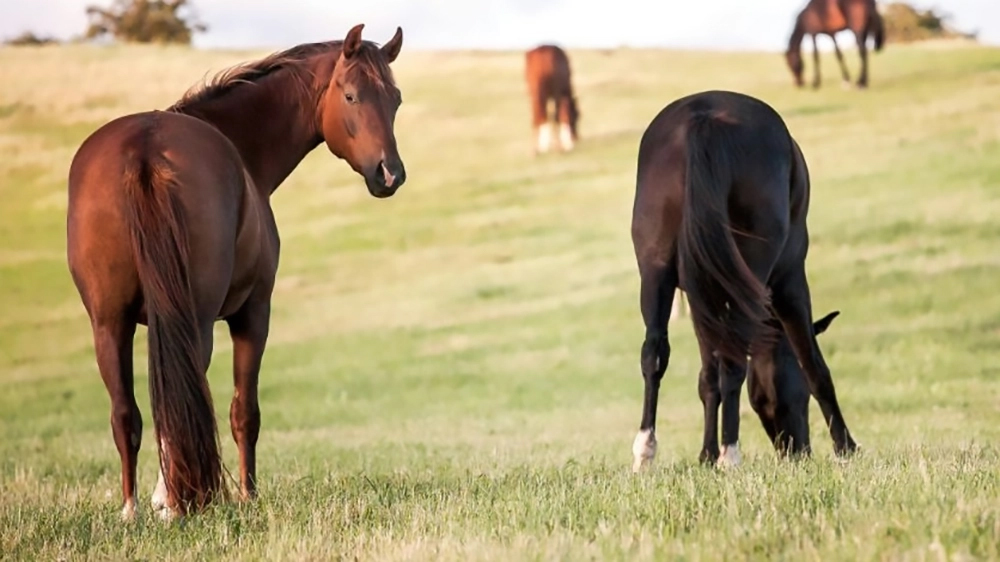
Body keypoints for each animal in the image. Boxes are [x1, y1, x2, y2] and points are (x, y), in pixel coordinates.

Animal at [66, 24, 406, 520]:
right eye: (351, 96)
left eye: (395, 99)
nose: (390, 174)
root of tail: (144, 150)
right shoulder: (253, 313)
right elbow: (244, 412)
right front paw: (246, 495)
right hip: (196, 319)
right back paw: (176, 501)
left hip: (108, 323)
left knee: (126, 412)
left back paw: (134, 509)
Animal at [629, 90, 857, 471]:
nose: (798, 450)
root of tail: (704, 119)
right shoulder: (790, 282)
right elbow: (814, 364)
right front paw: (846, 447)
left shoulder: (700, 297)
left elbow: (708, 377)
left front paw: (706, 455)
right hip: (757, 271)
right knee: (734, 360)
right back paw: (730, 454)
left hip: (656, 270)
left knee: (654, 353)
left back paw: (645, 453)